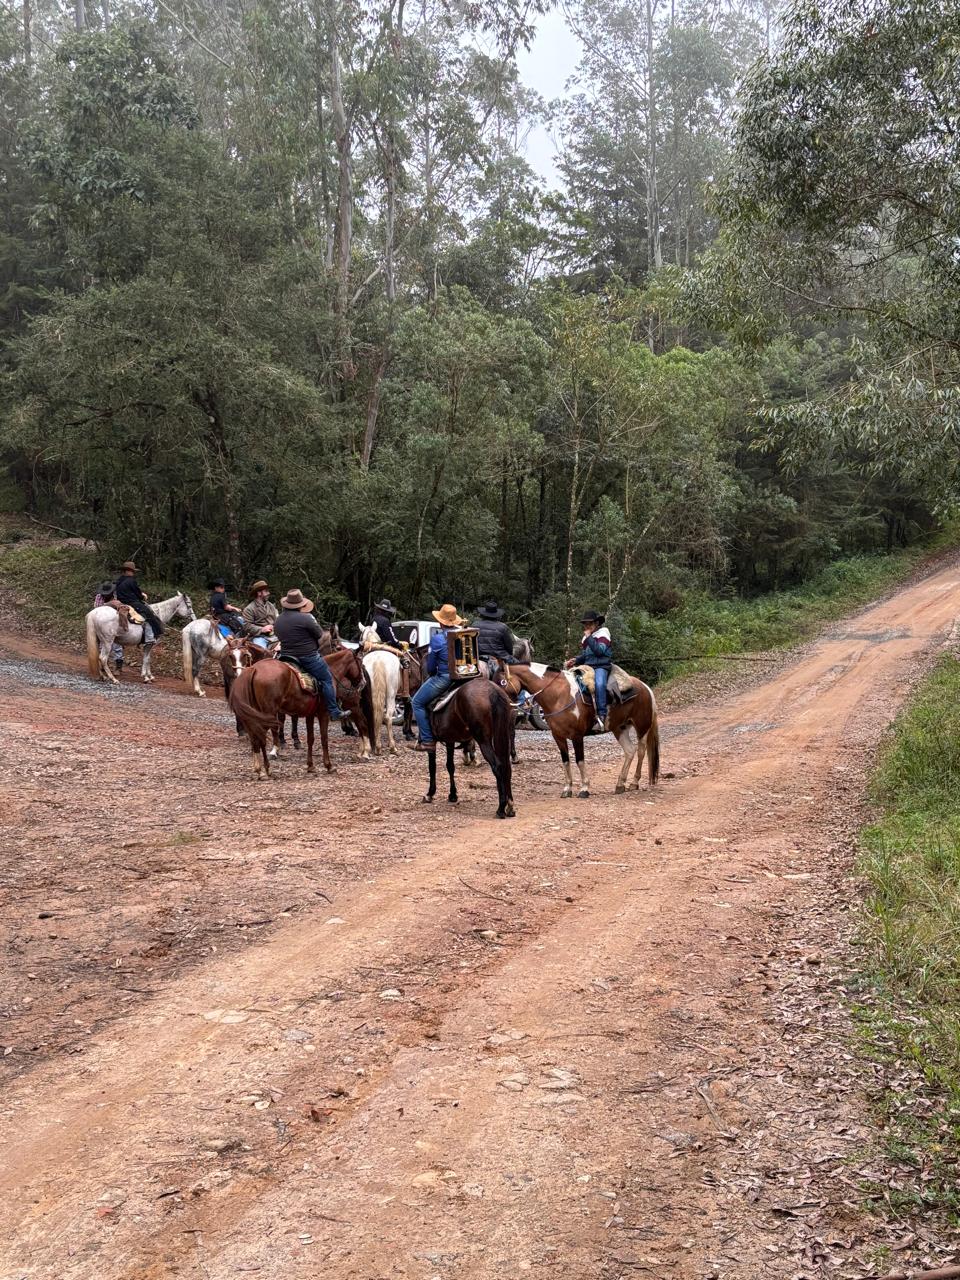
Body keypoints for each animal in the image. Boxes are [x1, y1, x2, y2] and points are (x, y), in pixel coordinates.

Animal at [420, 679, 516, 819]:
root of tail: (492, 690)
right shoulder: (450, 740)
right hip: (503, 734)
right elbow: (450, 766)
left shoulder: (431, 741)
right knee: (506, 766)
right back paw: (510, 806)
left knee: (498, 766)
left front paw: (430, 794)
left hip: (483, 740)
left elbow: (432, 766)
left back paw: (501, 808)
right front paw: (453, 795)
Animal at [494, 661, 659, 799]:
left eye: (502, 682)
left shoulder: (577, 736)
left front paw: (584, 788)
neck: (559, 695)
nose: (499, 703)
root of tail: (645, 687)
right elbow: (566, 761)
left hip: (641, 727)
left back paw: (634, 782)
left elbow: (580, 761)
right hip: (620, 728)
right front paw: (567, 789)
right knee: (630, 751)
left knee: (641, 751)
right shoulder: (558, 736)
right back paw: (620, 784)